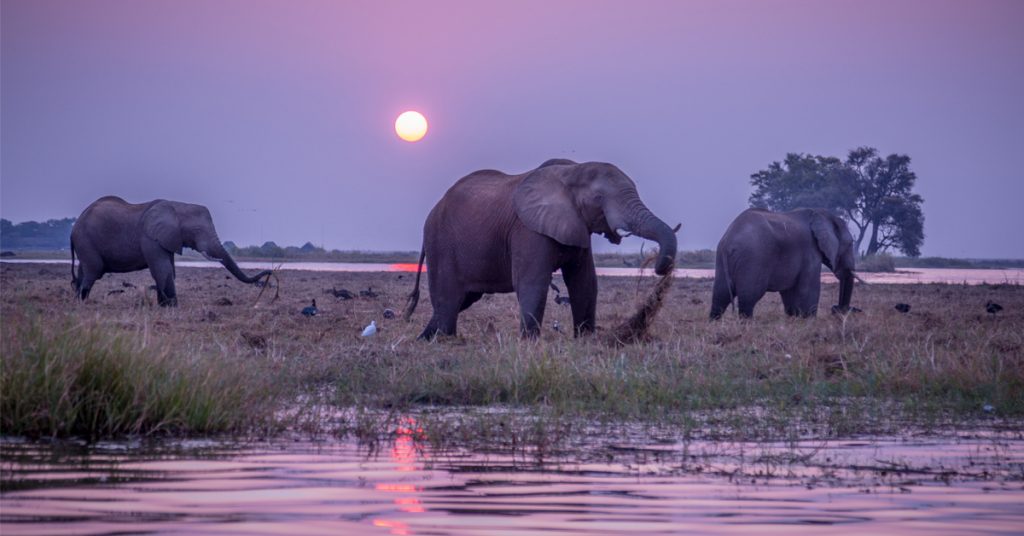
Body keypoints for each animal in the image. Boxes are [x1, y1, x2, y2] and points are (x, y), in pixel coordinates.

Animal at [71, 195, 272, 305]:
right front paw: (171, 307)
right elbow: (162, 269)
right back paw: (83, 302)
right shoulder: (150, 238)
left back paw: (78, 300)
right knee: (93, 271)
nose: (269, 273)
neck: (177, 205)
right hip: (86, 240)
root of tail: (74, 228)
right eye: (196, 230)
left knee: (84, 271)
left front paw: (165, 306)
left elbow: (169, 269)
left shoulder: (168, 238)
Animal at [401, 157, 679, 340]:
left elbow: (585, 282)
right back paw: (443, 339)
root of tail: (435, 208)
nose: (660, 268)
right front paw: (529, 343)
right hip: (441, 242)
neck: (572, 171)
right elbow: (532, 281)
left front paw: (586, 339)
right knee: (449, 299)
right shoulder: (527, 229)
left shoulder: (577, 226)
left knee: (464, 298)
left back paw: (426, 337)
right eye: (599, 199)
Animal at [704, 209, 856, 319]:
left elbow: (789, 291)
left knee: (720, 295)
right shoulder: (810, 253)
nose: (838, 310)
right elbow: (809, 289)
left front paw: (794, 319)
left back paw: (714, 322)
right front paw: (809, 321)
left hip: (723, 260)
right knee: (749, 297)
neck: (822, 214)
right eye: (850, 244)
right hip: (753, 259)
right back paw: (746, 324)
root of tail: (729, 242)